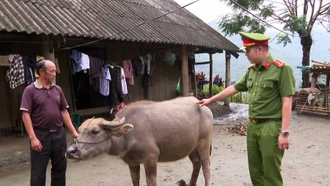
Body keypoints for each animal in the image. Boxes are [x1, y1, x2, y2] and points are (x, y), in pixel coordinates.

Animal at [65, 96, 214, 185]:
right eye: (78, 132)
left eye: (95, 131)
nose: (70, 151)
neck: (128, 136)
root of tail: (204, 107)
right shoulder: (132, 163)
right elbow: (135, 180)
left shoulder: (151, 159)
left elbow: (150, 182)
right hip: (191, 147)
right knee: (196, 163)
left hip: (204, 143)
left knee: (206, 167)